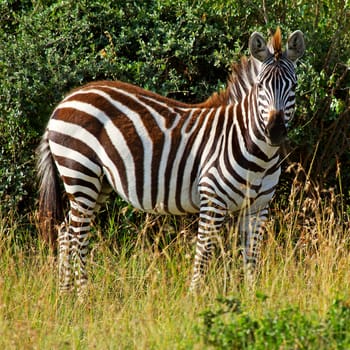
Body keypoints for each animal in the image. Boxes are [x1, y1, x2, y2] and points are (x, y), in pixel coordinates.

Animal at [36, 28, 304, 294]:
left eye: (293, 86)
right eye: (260, 86)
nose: (275, 131)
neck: (260, 157)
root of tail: (66, 100)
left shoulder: (258, 208)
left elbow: (251, 260)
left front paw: (252, 297)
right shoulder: (212, 199)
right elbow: (203, 255)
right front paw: (194, 298)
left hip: (97, 183)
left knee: (66, 232)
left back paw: (65, 294)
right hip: (80, 171)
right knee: (78, 236)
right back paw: (83, 296)